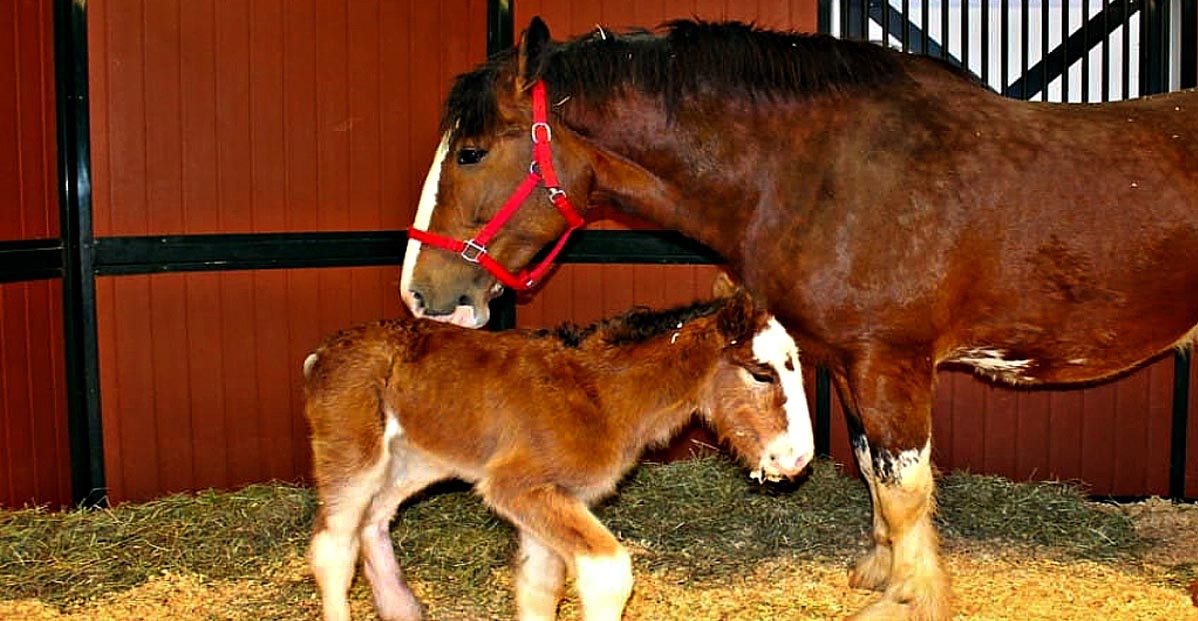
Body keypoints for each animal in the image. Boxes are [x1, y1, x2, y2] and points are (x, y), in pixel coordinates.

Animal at [400, 17, 1198, 618]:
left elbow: (906, 491)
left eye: (471, 152)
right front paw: (880, 575)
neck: (821, 173)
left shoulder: (889, 363)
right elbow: (875, 475)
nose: (420, 293)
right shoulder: (850, 363)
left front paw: (908, 600)